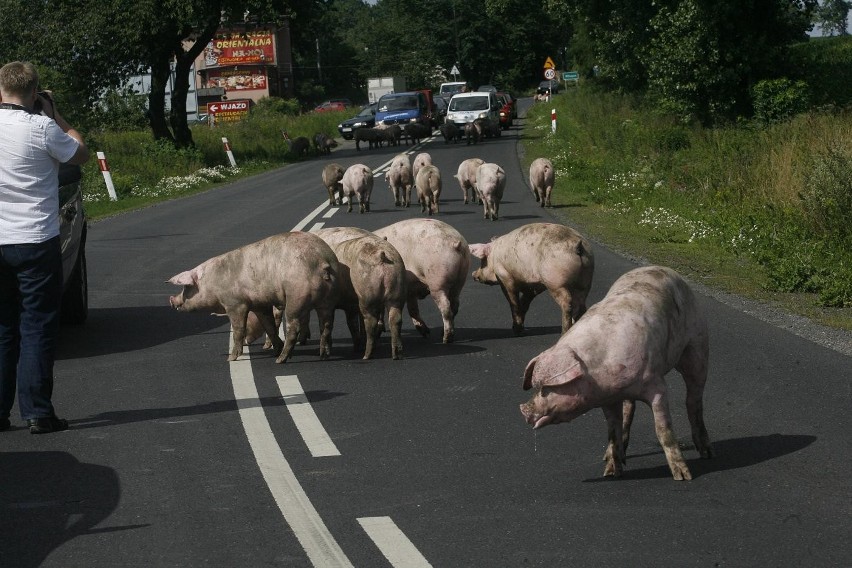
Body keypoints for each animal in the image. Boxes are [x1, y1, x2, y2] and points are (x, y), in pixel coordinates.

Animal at [166, 232, 340, 362]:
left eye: (186, 287)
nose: (171, 300)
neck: (212, 281)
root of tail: (322, 261)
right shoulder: (260, 304)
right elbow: (269, 326)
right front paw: (274, 349)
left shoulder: (235, 304)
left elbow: (238, 329)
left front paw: (231, 358)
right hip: (328, 298)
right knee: (326, 324)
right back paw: (323, 355)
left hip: (297, 296)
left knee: (294, 326)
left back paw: (281, 359)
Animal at [314, 227, 408, 358]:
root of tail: (381, 256)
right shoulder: (351, 303)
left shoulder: (345, 303)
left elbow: (348, 324)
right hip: (397, 288)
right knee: (396, 319)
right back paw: (396, 355)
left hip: (367, 294)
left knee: (371, 321)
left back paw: (366, 355)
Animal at [520, 266, 712, 480]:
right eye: (536, 386)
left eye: (545, 388)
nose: (523, 409)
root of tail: (665, 269)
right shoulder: (608, 398)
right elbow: (613, 432)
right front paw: (611, 473)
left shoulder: (657, 385)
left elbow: (663, 430)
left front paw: (683, 477)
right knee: (630, 408)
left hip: (697, 345)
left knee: (694, 398)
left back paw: (706, 453)